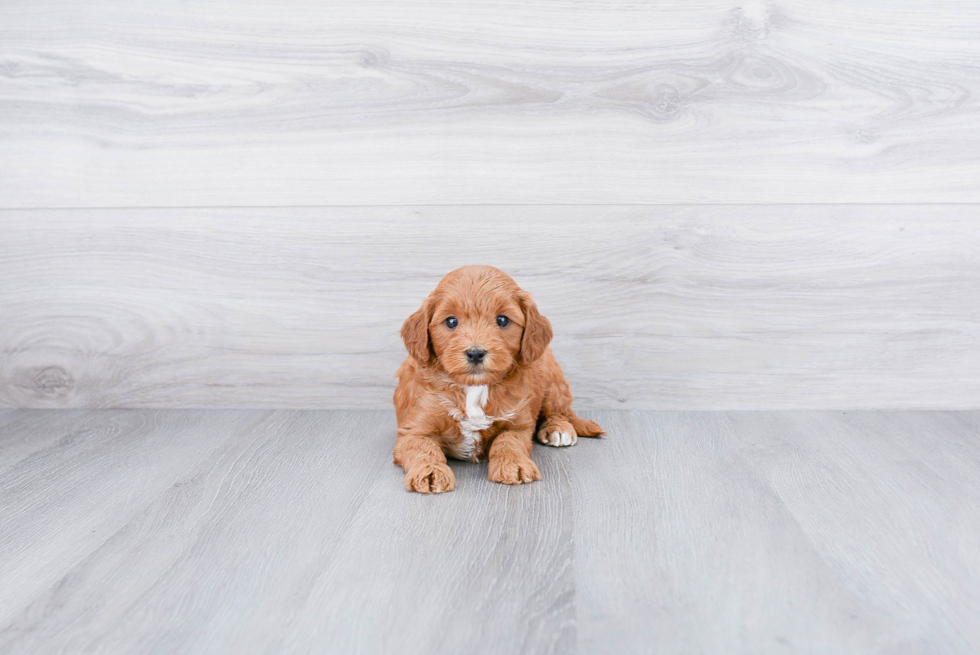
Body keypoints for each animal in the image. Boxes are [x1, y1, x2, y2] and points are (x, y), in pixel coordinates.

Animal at [394, 266, 600, 492]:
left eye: (502, 320)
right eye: (451, 321)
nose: (475, 353)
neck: (475, 388)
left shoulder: (518, 424)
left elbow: (509, 441)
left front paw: (514, 464)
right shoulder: (413, 429)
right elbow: (423, 447)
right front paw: (429, 472)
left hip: (553, 379)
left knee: (559, 410)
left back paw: (559, 429)